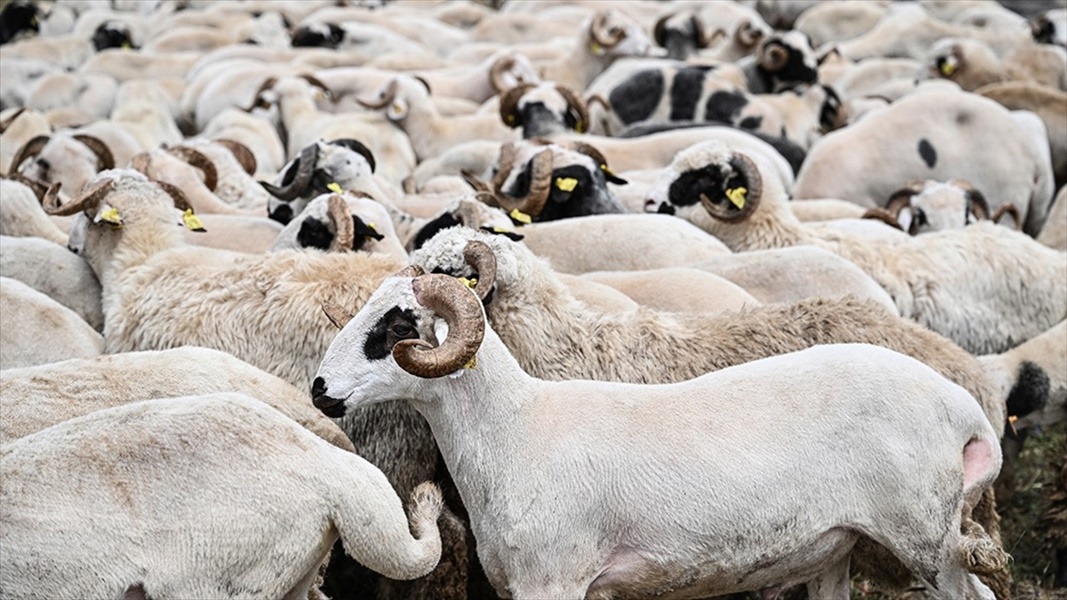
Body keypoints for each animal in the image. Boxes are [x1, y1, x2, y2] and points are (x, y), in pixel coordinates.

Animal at [311, 270, 1002, 597]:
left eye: (396, 326)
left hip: (925, 536)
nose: (319, 390)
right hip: (837, 545)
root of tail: (964, 408)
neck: (514, 429)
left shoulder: (553, 581)